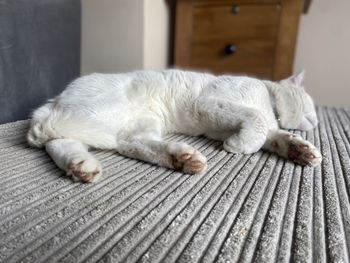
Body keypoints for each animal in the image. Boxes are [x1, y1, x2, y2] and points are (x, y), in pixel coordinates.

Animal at [27, 69, 322, 183]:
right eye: (311, 105)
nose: (318, 121)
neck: (268, 101)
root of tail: (56, 98)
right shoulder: (211, 104)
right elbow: (258, 124)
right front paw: (238, 146)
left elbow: (275, 136)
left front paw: (300, 149)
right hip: (100, 113)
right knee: (48, 132)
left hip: (140, 124)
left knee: (129, 145)